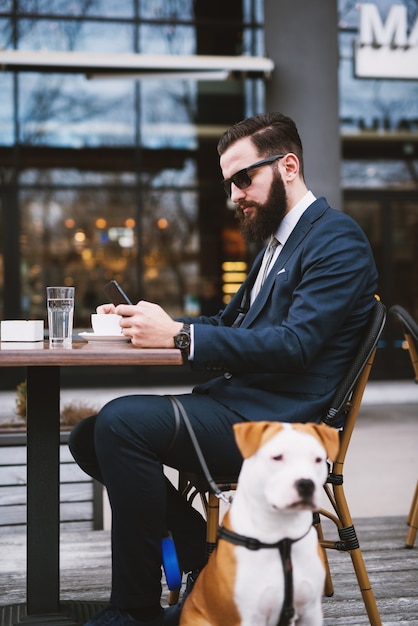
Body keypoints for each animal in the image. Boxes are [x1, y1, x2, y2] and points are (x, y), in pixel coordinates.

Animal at [180, 420, 340, 624]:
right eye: (277, 457)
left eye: (318, 459)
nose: (306, 483)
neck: (282, 536)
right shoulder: (250, 616)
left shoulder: (310, 612)